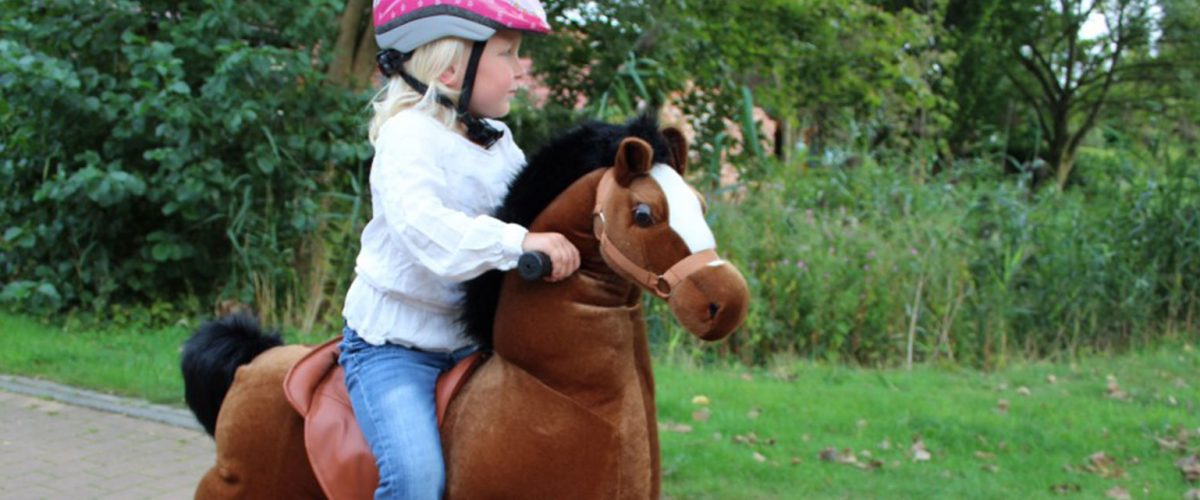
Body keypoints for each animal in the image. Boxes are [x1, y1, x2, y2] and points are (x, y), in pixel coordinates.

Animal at [181, 115, 750, 499]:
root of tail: (254, 361)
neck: (552, 388)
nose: (728, 301)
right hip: (241, 485)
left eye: (700, 204)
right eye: (644, 213)